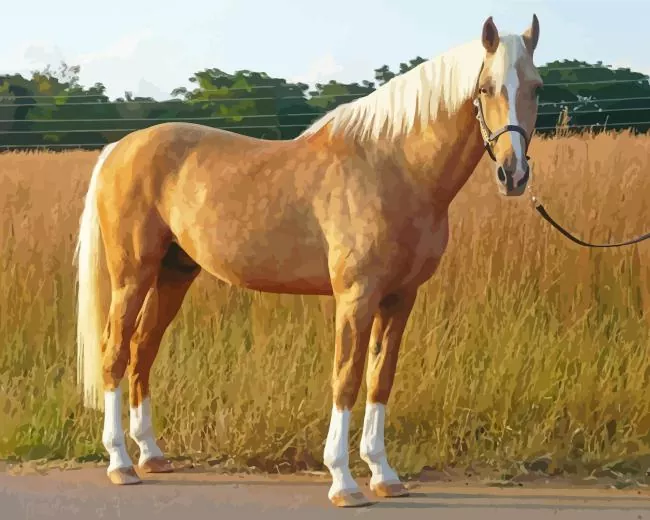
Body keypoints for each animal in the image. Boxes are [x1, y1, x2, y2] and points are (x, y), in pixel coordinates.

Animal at [74, 14, 542, 507]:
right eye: (486, 88)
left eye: (536, 87)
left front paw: (384, 475)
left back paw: (151, 455)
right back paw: (121, 463)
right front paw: (343, 481)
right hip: (132, 276)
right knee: (115, 352)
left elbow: (380, 379)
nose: (513, 174)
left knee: (143, 350)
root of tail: (118, 149)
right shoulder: (356, 298)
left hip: (173, 275)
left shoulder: (400, 298)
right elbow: (347, 379)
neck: (393, 167)